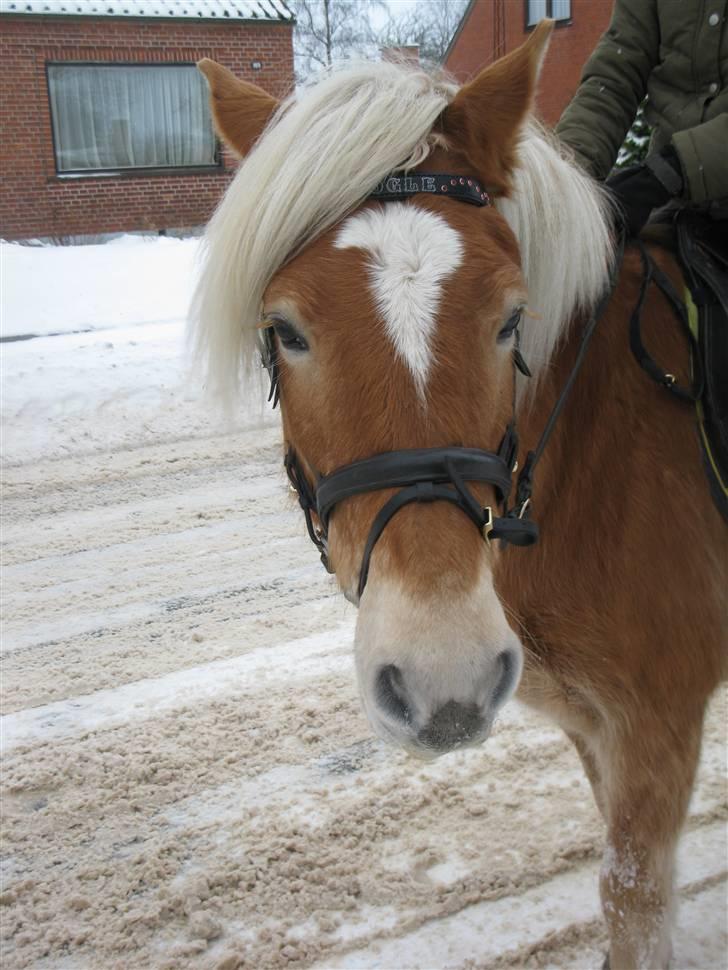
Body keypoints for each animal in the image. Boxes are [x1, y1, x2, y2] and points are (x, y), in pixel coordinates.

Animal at [193, 20, 728, 968]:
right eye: (284, 330)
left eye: (513, 319)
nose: (445, 677)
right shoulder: (598, 730)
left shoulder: (659, 724)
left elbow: (632, 900)